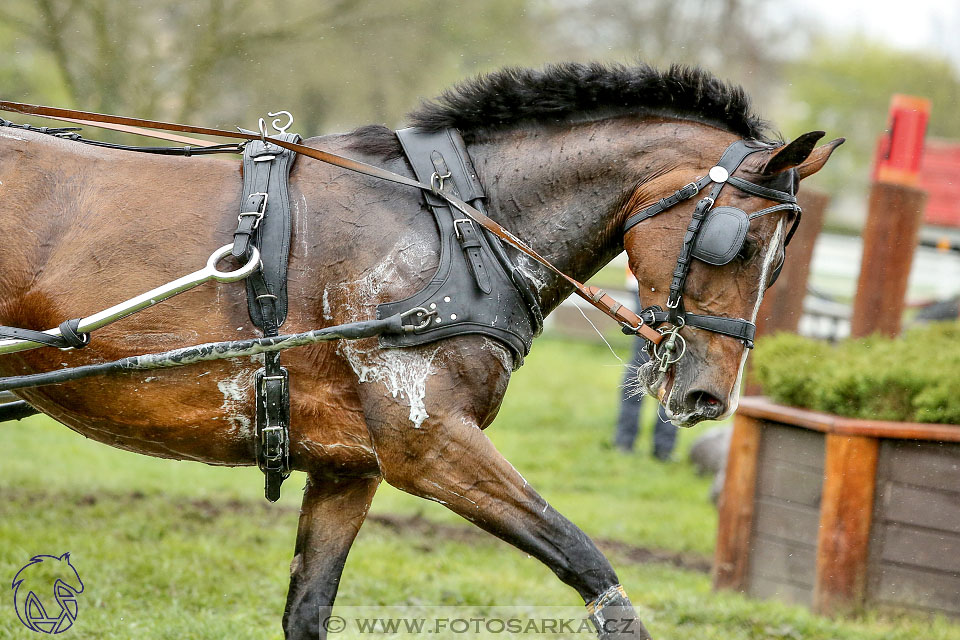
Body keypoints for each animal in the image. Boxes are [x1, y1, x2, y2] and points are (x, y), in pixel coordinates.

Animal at [0, 61, 840, 640]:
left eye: (779, 260)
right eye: (741, 245)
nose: (707, 396)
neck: (456, 226)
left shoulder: (349, 468)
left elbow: (308, 610)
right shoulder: (430, 444)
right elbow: (587, 563)